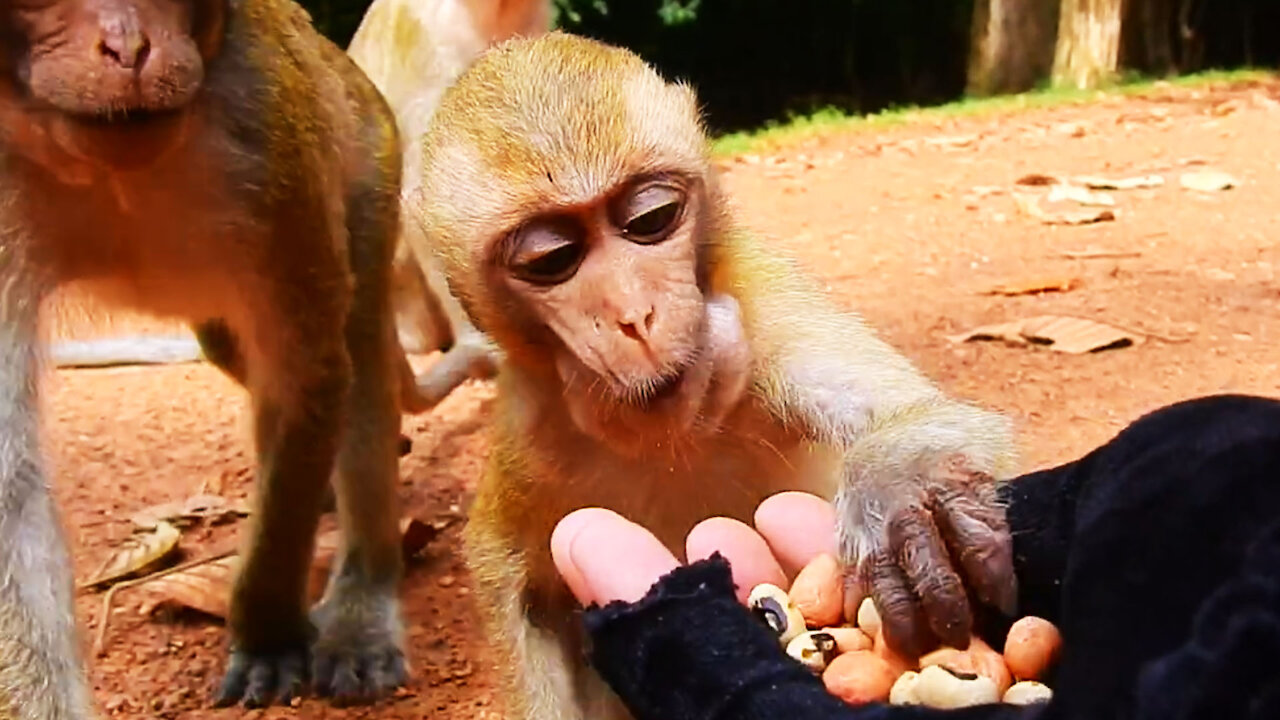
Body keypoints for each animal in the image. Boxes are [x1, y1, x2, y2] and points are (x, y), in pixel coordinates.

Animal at [0, 0, 418, 713]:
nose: (129, 49)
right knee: (237, 351)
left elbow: (308, 378)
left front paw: (269, 634)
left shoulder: (270, 138)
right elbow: (10, 482)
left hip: (372, 155)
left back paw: (363, 594)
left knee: (359, 351)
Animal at [408, 32, 1020, 719]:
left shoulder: (763, 309)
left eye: (651, 218)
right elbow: (517, 586)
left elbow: (923, 419)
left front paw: (899, 490)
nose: (634, 316)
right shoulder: (532, 422)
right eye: (552, 259)